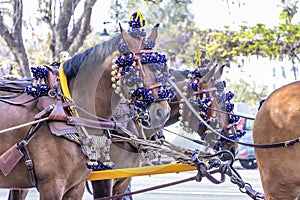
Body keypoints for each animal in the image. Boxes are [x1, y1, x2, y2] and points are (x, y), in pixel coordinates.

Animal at [0, 23, 171, 200]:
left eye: (163, 69)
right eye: (135, 71)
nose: (162, 112)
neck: (69, 113)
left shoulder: (79, 186)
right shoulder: (54, 185)